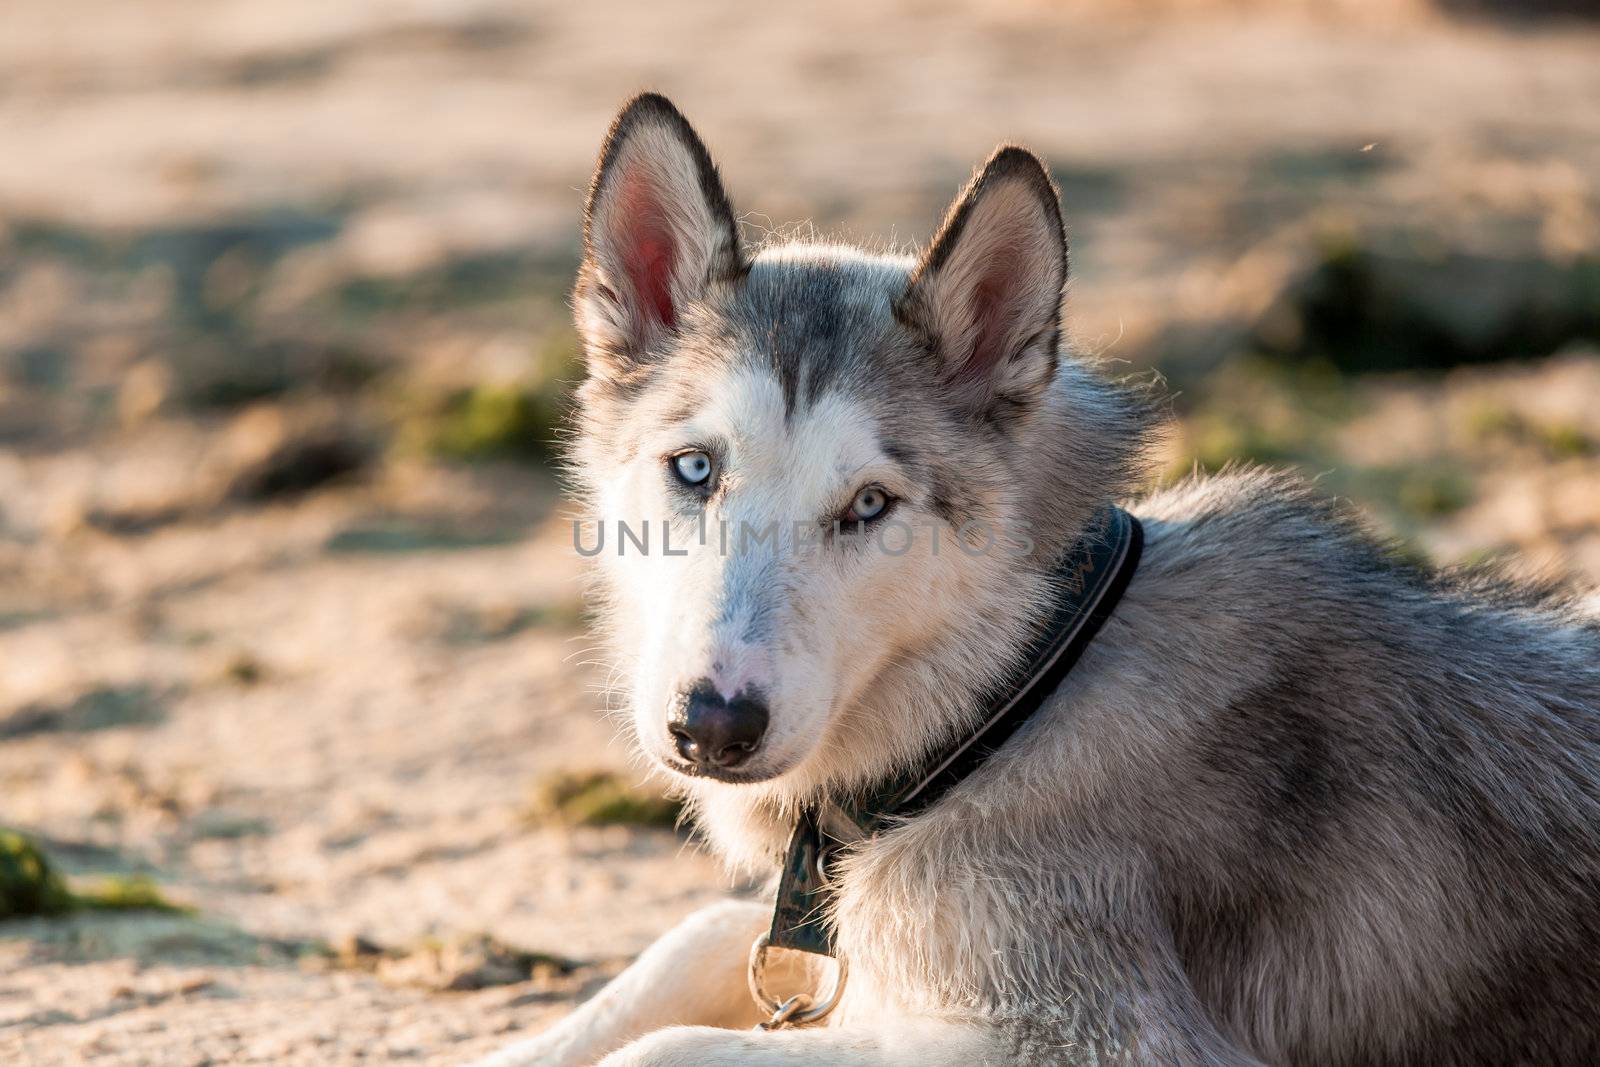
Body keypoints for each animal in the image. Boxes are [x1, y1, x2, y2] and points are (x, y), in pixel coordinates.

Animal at [476, 93, 1600, 1067]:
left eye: (870, 504)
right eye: (695, 469)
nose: (711, 726)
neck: (1014, 690)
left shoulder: (1108, 1039)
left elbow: (663, 1042)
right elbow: (698, 936)